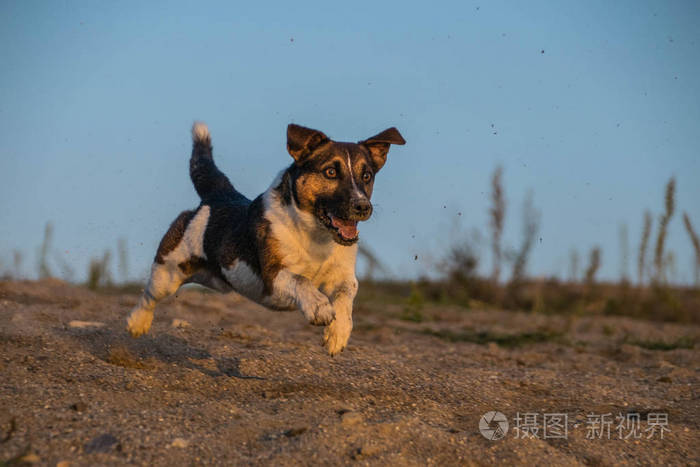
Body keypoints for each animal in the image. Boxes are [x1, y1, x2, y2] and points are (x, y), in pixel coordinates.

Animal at [126, 122, 404, 356]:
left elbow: (347, 294)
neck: (316, 236)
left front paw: (338, 334)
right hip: (169, 271)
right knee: (150, 295)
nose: (363, 206)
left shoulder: (342, 275)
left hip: (215, 279)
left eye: (367, 176)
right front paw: (320, 308)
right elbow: (302, 280)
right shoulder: (274, 276)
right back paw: (137, 323)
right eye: (330, 172)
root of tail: (219, 195)